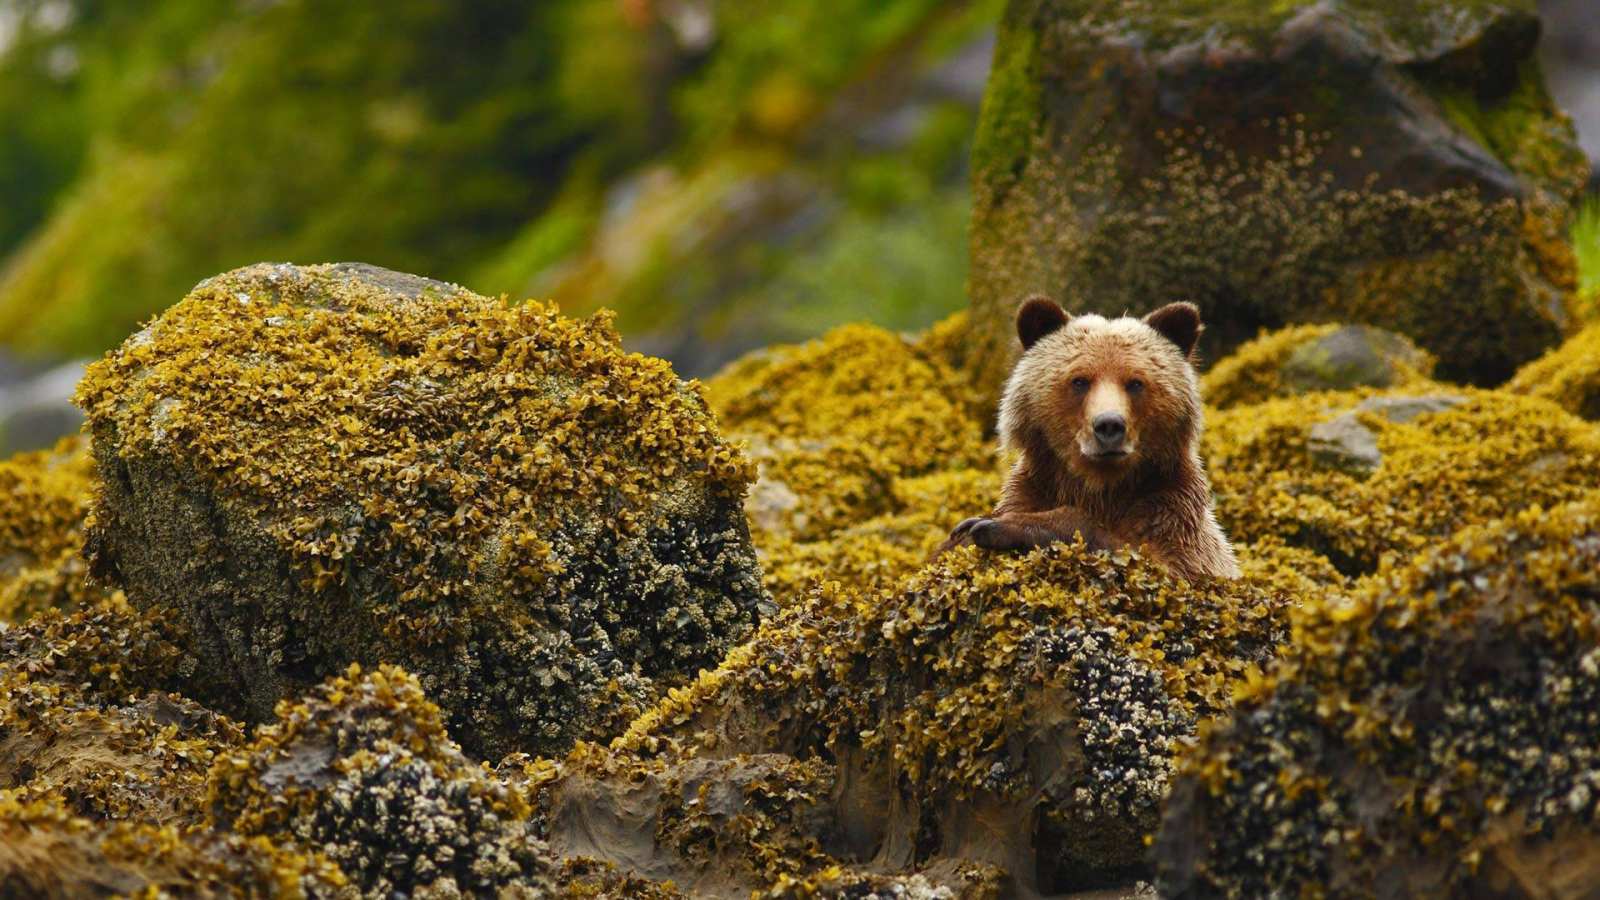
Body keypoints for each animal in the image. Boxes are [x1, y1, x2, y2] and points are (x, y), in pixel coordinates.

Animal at [941, 295, 1240, 580]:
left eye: (1135, 382)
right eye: (1080, 380)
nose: (1109, 425)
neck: (1101, 488)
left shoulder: (1173, 513)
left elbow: (1158, 561)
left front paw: (992, 526)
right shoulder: (1035, 487)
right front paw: (966, 529)